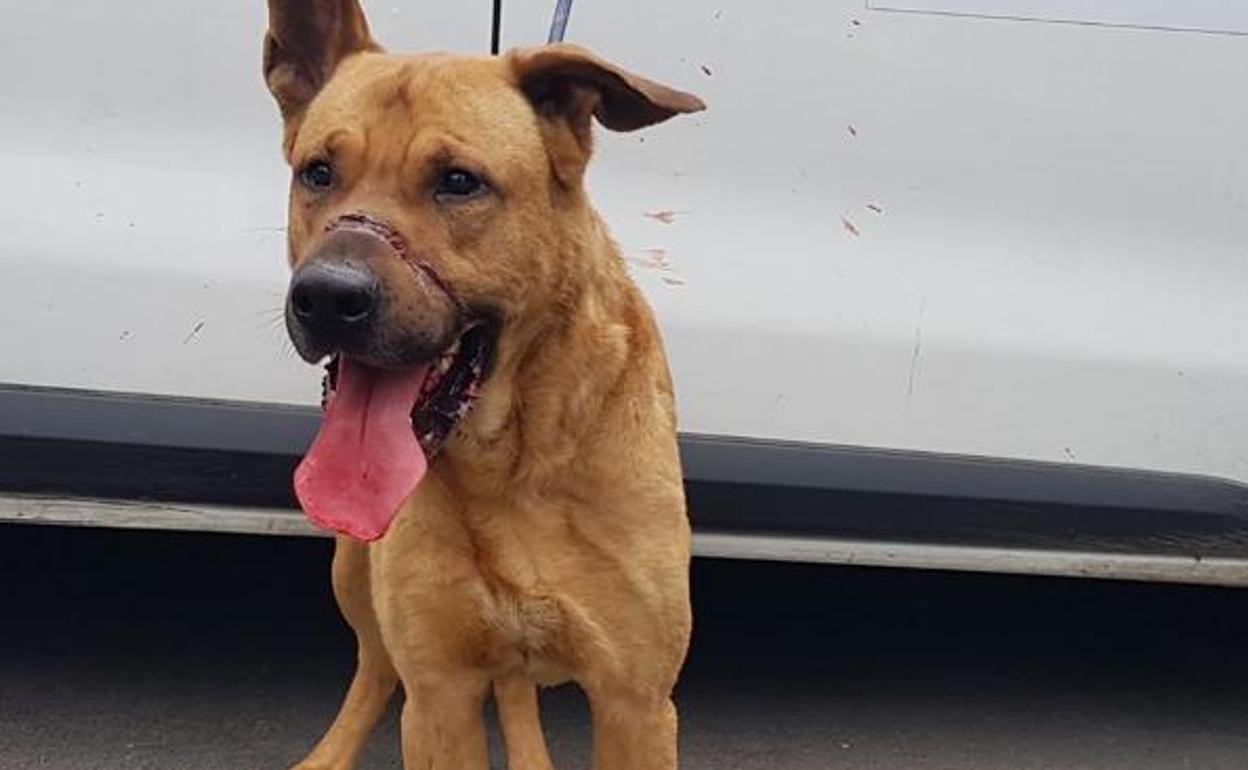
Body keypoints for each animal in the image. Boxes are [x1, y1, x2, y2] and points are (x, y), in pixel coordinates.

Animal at [259, 3, 708, 763]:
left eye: (459, 182)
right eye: (318, 172)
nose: (326, 297)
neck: (510, 462)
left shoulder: (637, 703)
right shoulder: (440, 697)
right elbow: (414, 681)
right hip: (353, 568)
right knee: (376, 667)